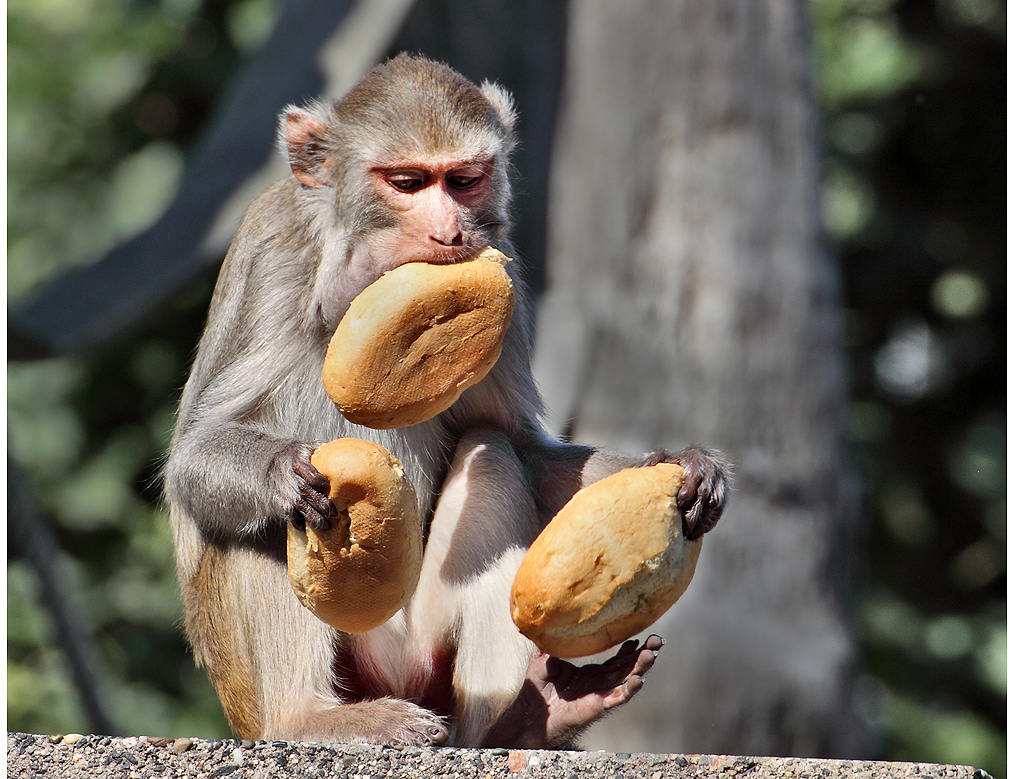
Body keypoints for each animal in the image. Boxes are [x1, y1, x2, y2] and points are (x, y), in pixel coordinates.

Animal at [162, 54, 726, 747]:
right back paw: (310, 715)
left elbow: (521, 445)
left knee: (491, 452)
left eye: (463, 180)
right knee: (262, 523)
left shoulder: (501, 274)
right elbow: (197, 456)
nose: (449, 232)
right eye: (406, 182)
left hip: (425, 660)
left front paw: (684, 468)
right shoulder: (271, 255)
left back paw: (524, 722)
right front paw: (288, 471)